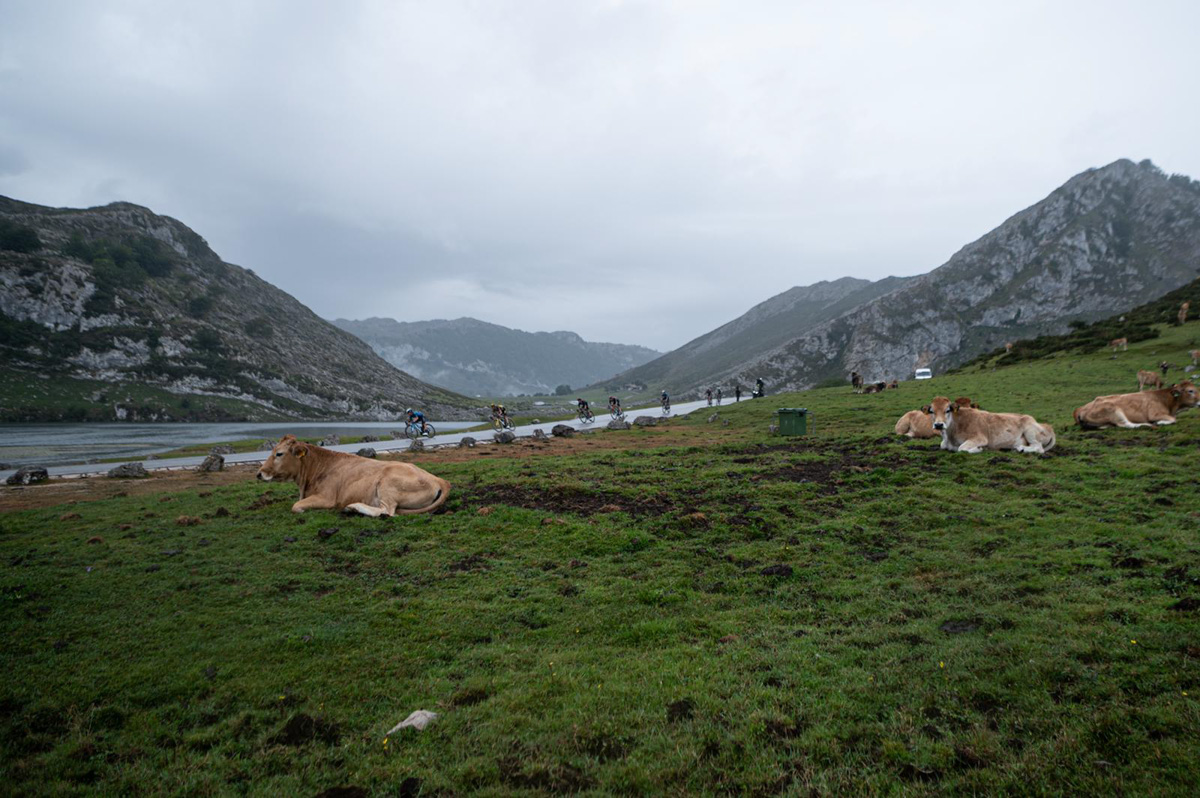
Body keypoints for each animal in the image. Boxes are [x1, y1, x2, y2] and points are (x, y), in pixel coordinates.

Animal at [255, 432, 448, 513]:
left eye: (279, 453)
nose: (259, 473)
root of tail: (439, 479)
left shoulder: (327, 497)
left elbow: (295, 506)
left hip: (387, 484)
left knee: (386, 511)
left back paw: (353, 507)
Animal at [921, 396, 1056, 451]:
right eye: (932, 411)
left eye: (947, 410)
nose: (938, 425)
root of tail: (1048, 426)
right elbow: (943, 446)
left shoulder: (979, 438)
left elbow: (962, 448)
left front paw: (978, 449)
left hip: (1030, 430)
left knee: (1038, 448)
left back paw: (1021, 449)